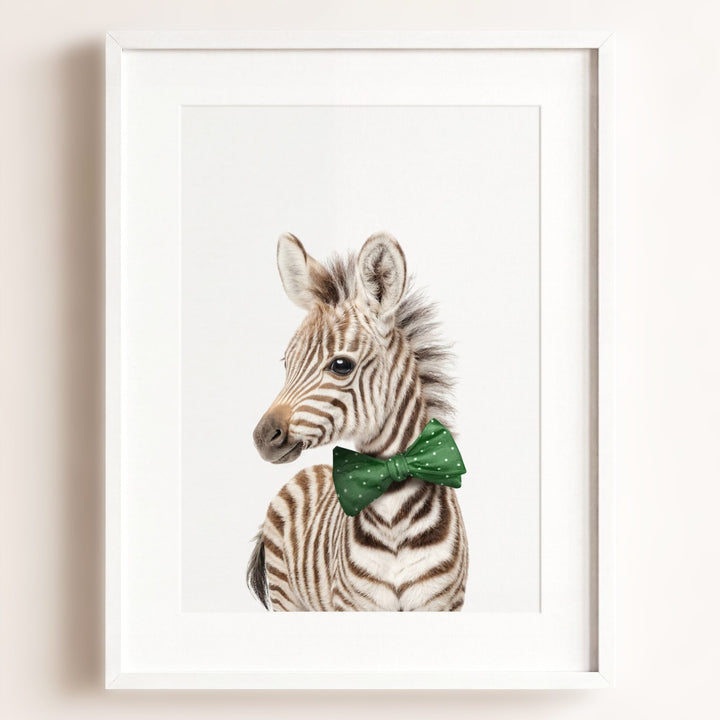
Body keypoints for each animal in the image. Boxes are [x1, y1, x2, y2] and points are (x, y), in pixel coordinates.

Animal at [247, 231, 469, 611]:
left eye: (341, 365)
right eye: (286, 362)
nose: (263, 436)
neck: (394, 515)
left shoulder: (443, 604)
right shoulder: (354, 605)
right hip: (286, 596)